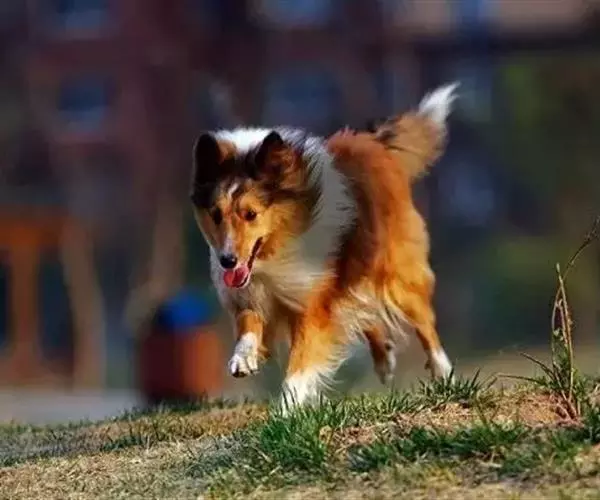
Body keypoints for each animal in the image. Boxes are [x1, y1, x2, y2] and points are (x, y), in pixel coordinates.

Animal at [190, 83, 458, 410]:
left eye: (250, 214)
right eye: (216, 214)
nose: (227, 260)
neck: (278, 247)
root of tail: (374, 143)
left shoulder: (312, 303)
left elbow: (301, 362)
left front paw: (287, 408)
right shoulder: (251, 292)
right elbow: (248, 324)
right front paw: (243, 359)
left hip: (397, 272)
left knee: (423, 323)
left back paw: (444, 374)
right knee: (360, 309)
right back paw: (384, 358)